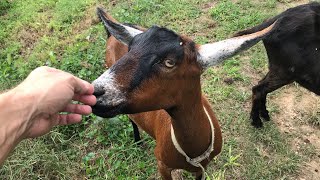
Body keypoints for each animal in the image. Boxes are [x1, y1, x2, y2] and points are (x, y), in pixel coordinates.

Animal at [92, 7, 276, 179]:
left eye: (169, 62)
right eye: (130, 49)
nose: (96, 91)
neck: (193, 151)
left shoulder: (202, 168)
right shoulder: (162, 164)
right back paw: (137, 141)